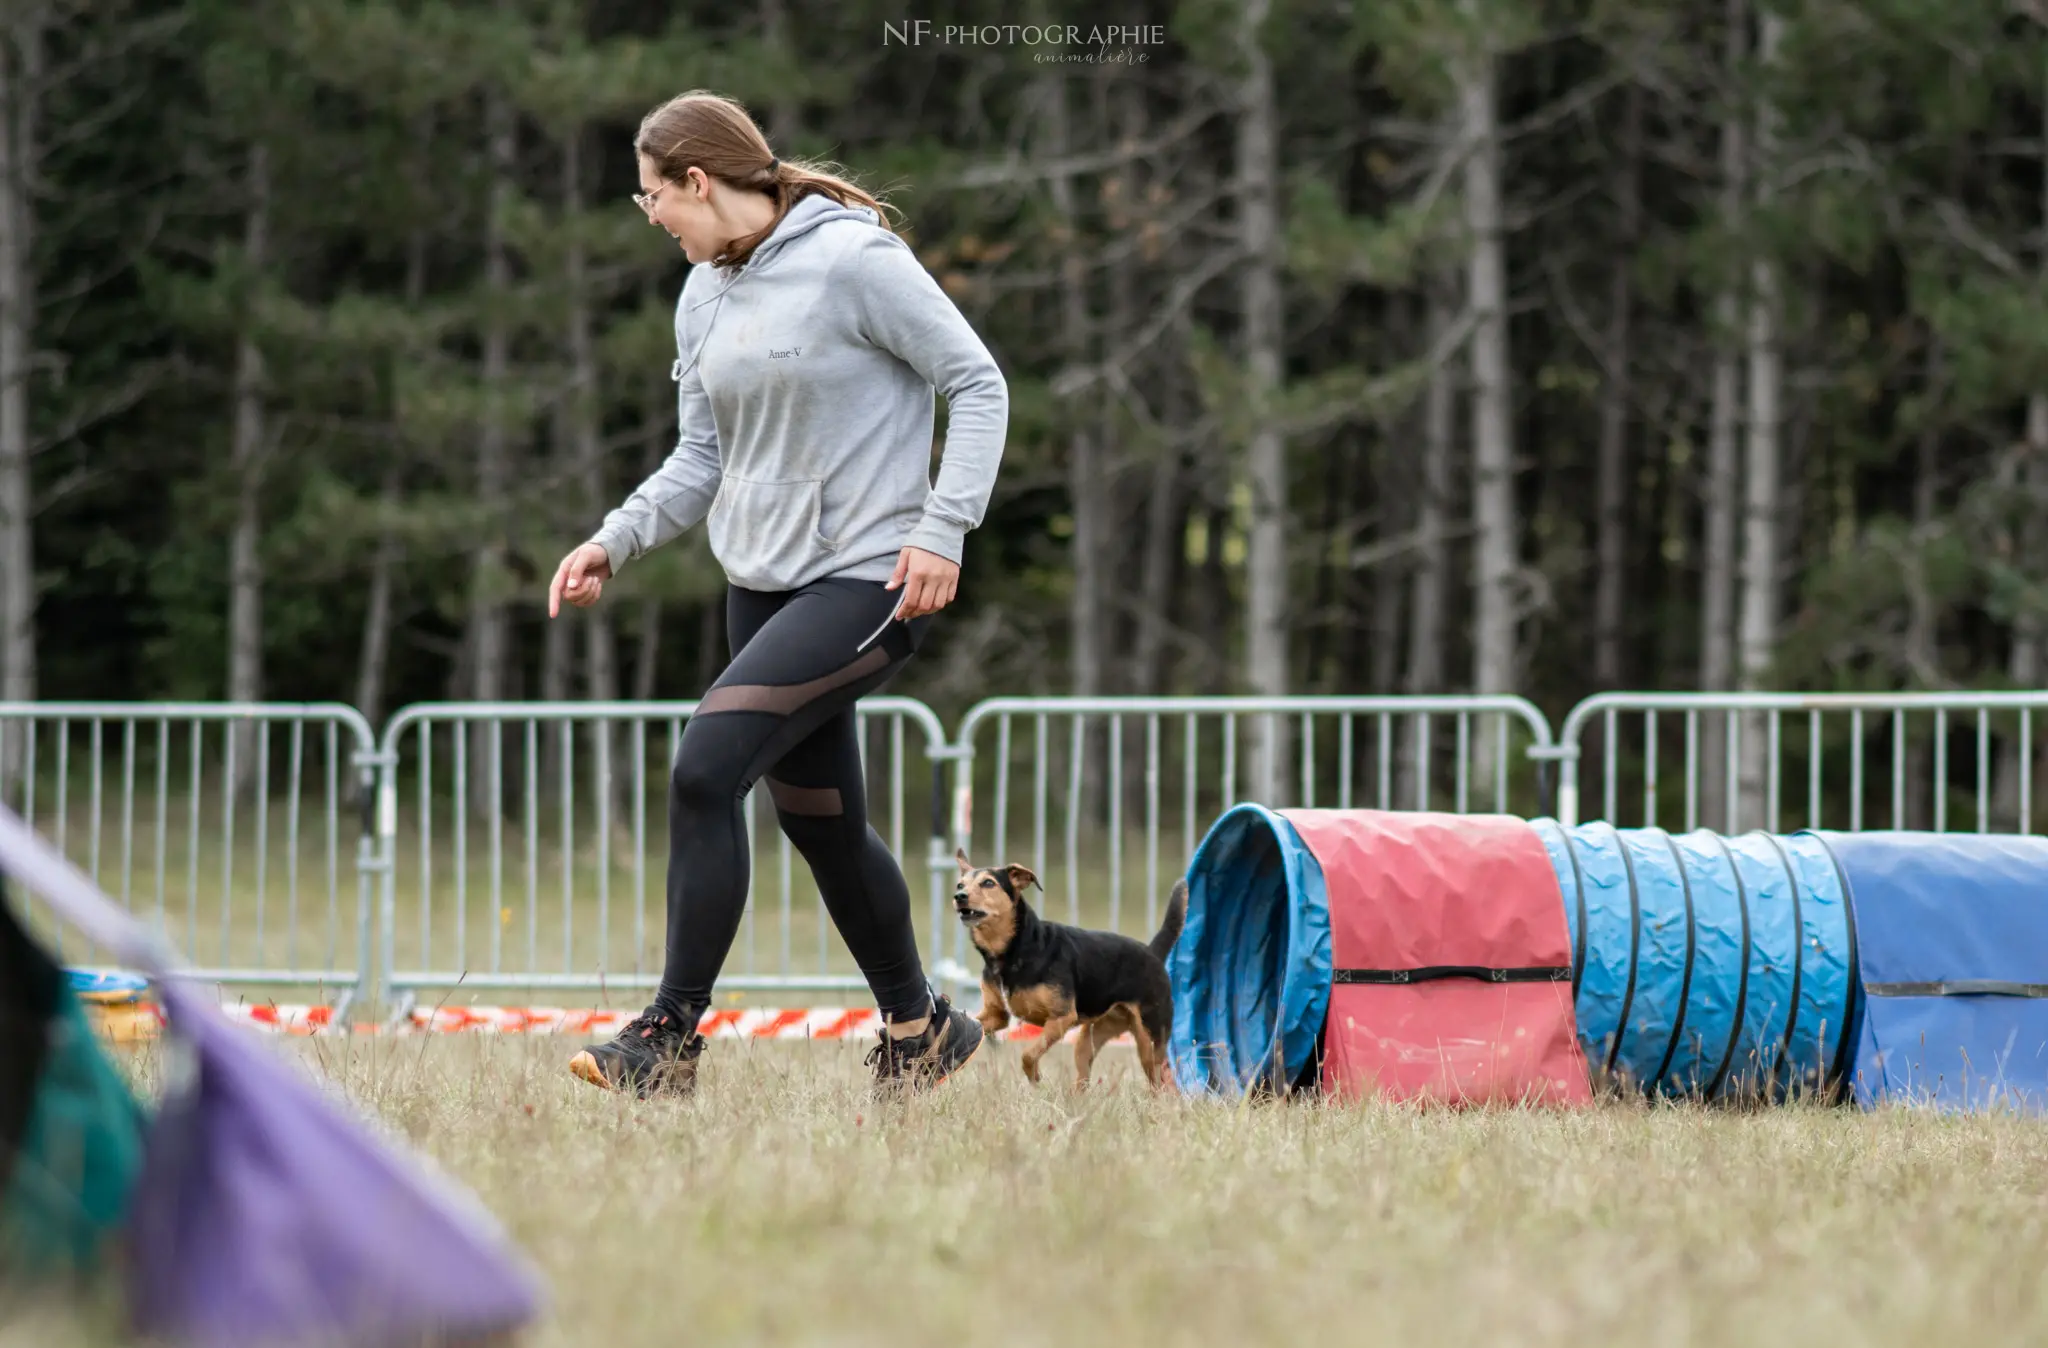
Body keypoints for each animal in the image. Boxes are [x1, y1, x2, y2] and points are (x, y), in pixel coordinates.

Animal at [946, 844, 1187, 1089]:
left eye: (988, 883)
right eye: (960, 885)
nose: (959, 897)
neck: (1014, 948)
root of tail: (1152, 952)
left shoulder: (1062, 1017)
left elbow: (1028, 1055)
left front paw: (1036, 1079)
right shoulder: (995, 1016)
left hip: (1150, 1041)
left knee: (1163, 1082)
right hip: (1090, 1039)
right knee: (1083, 1075)